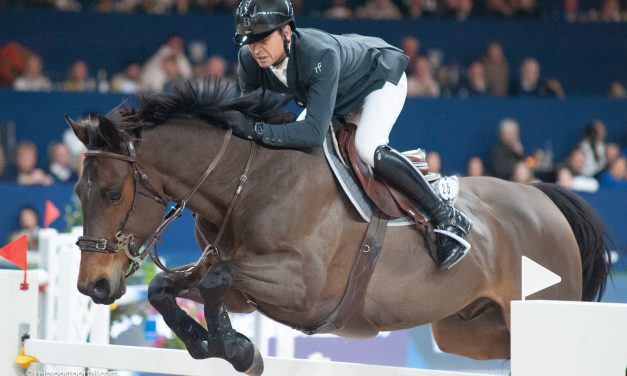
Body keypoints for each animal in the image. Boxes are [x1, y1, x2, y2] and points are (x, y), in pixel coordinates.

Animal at [66, 79, 612, 374]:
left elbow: (219, 280)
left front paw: (238, 351)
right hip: (469, 331)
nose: (94, 287)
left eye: (112, 193)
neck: (247, 181)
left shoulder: (300, 287)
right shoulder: (245, 290)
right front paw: (211, 346)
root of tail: (544, 198)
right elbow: (166, 288)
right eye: (77, 193)